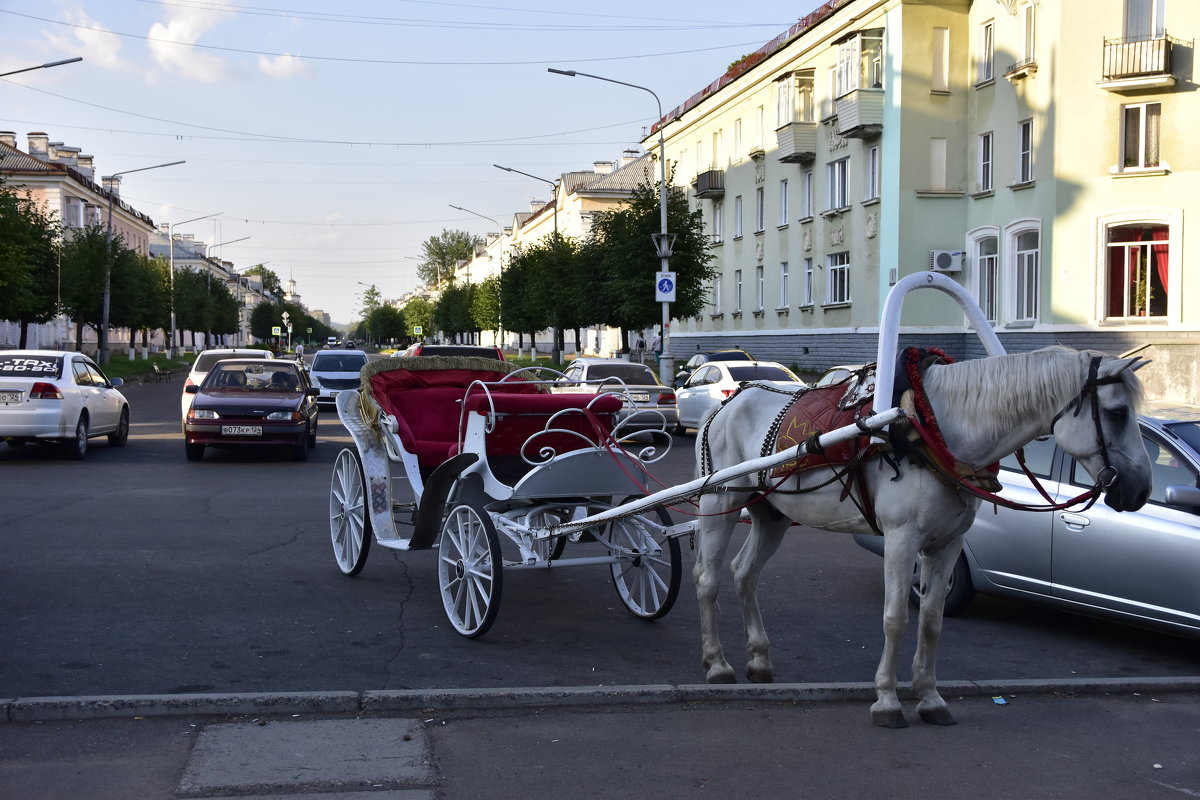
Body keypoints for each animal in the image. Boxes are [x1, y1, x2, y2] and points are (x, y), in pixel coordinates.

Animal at [696, 347, 1152, 729]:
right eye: (1116, 413)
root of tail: (727, 403)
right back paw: (717, 664)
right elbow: (895, 618)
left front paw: (930, 698)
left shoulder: (948, 545)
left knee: (744, 573)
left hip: (771, 515)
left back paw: (759, 658)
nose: (1140, 490)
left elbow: (931, 621)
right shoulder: (901, 542)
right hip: (720, 503)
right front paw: (887, 700)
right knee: (709, 581)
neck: (931, 428)